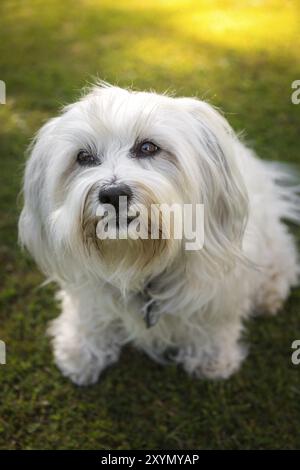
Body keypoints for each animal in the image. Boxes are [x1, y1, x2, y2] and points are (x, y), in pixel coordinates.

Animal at [18, 83, 298, 386]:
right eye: (83, 157)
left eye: (148, 147)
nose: (113, 194)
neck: (136, 258)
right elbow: (92, 317)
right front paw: (81, 352)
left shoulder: (218, 289)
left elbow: (213, 324)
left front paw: (211, 359)